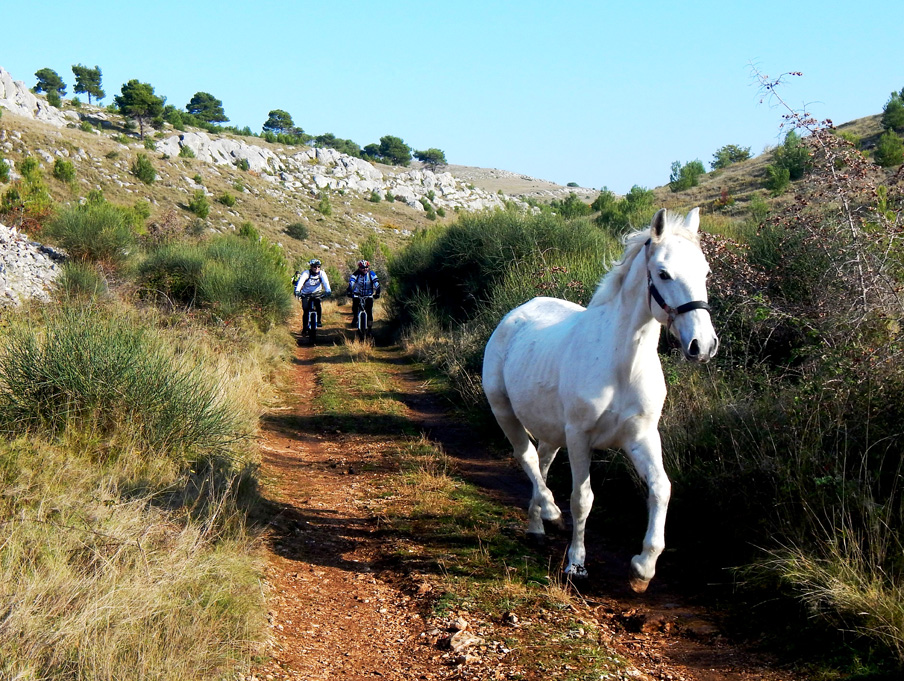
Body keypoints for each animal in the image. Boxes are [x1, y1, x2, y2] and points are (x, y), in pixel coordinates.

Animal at [484, 207, 716, 588]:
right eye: (663, 273)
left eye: (706, 272)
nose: (703, 345)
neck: (621, 364)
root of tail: (514, 315)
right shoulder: (580, 437)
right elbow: (582, 499)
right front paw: (576, 563)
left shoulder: (641, 437)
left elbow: (661, 488)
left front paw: (643, 567)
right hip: (505, 413)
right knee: (527, 458)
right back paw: (550, 513)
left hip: (552, 430)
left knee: (542, 462)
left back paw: (537, 526)